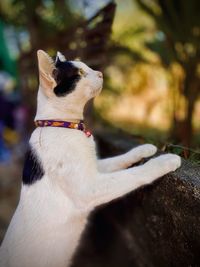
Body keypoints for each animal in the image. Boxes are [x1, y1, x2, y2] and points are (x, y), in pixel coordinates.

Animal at [0, 50, 181, 267]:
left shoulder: (95, 168)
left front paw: (144, 148)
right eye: (79, 73)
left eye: (87, 67)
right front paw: (166, 160)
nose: (101, 73)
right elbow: (135, 174)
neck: (61, 124)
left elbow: (120, 159)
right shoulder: (90, 187)